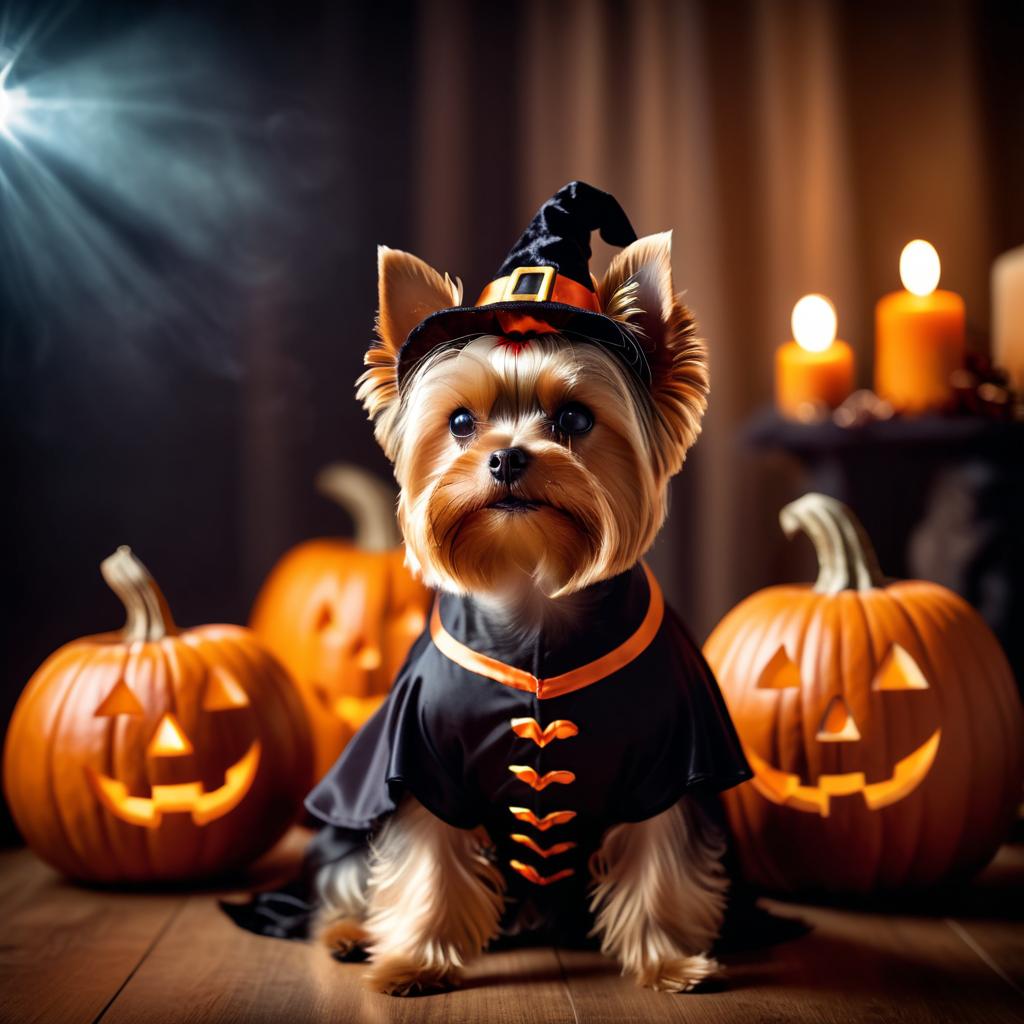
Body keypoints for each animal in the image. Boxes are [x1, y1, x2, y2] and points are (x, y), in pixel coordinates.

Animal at [299, 182, 753, 991]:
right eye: (459, 422)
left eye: (573, 417)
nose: (506, 457)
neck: (534, 589)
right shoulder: (421, 761)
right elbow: (425, 860)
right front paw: (415, 961)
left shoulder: (671, 757)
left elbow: (662, 862)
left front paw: (669, 960)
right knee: (345, 872)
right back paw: (351, 934)